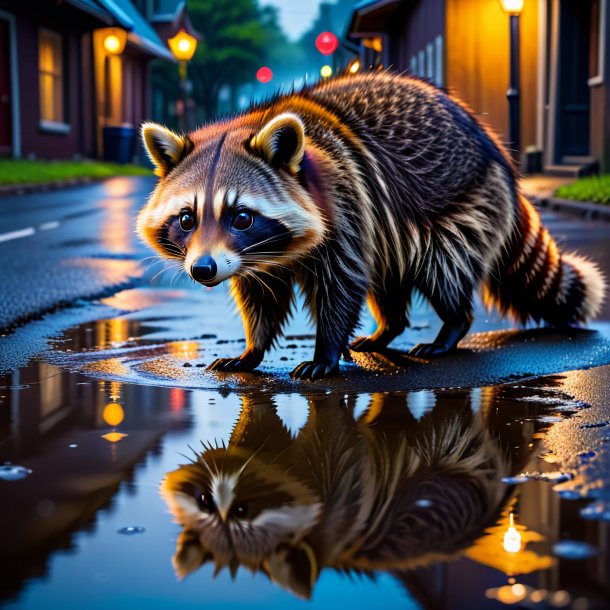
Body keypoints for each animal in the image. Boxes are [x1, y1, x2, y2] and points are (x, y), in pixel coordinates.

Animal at [137, 70, 604, 376]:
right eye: (186, 218)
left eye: (242, 217)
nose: (203, 269)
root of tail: (498, 155)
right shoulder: (255, 259)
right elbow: (261, 298)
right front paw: (253, 348)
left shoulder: (347, 208)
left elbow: (341, 285)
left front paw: (325, 351)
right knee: (388, 279)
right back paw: (388, 329)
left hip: (464, 205)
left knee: (445, 271)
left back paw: (451, 326)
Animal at [160, 390, 532, 592]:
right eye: (205, 502)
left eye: (243, 509)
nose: (220, 483)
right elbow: (259, 431)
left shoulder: (340, 489)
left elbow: (333, 435)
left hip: (453, 471)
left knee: (446, 426)